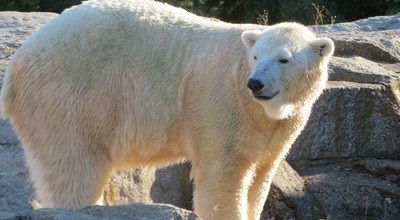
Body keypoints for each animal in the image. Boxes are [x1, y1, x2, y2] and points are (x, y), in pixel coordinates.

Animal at [0, 0, 334, 219]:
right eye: (255, 56)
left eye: (283, 59)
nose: (256, 84)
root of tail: (17, 63)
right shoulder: (222, 103)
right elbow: (223, 175)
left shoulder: (276, 125)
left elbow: (262, 173)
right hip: (71, 96)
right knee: (73, 167)